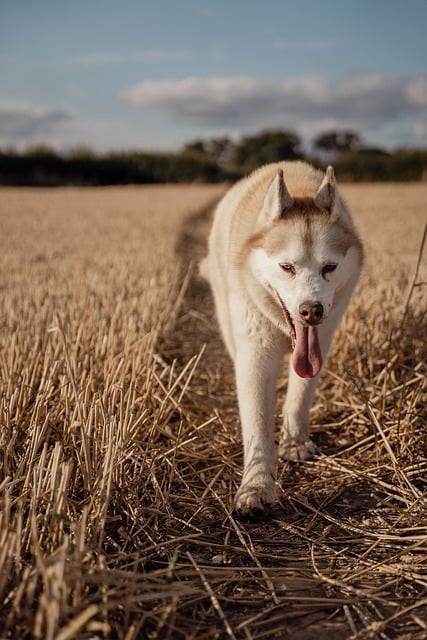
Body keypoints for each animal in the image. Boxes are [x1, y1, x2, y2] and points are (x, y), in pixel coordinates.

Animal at [201, 160, 364, 516]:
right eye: (286, 267)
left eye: (330, 267)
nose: (311, 311)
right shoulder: (254, 355)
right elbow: (257, 423)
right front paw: (256, 487)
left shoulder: (322, 341)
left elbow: (300, 396)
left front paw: (294, 442)